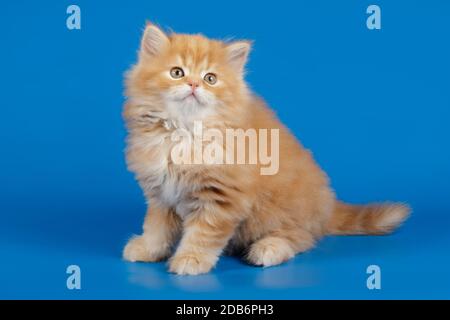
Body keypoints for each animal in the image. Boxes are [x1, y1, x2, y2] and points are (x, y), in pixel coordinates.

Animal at [121, 23, 410, 276]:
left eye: (210, 78)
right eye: (177, 73)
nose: (194, 85)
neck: (183, 132)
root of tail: (327, 206)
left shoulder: (221, 196)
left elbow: (203, 234)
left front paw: (191, 259)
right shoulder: (160, 193)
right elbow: (157, 227)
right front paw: (149, 249)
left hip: (279, 210)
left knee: (302, 237)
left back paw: (268, 248)